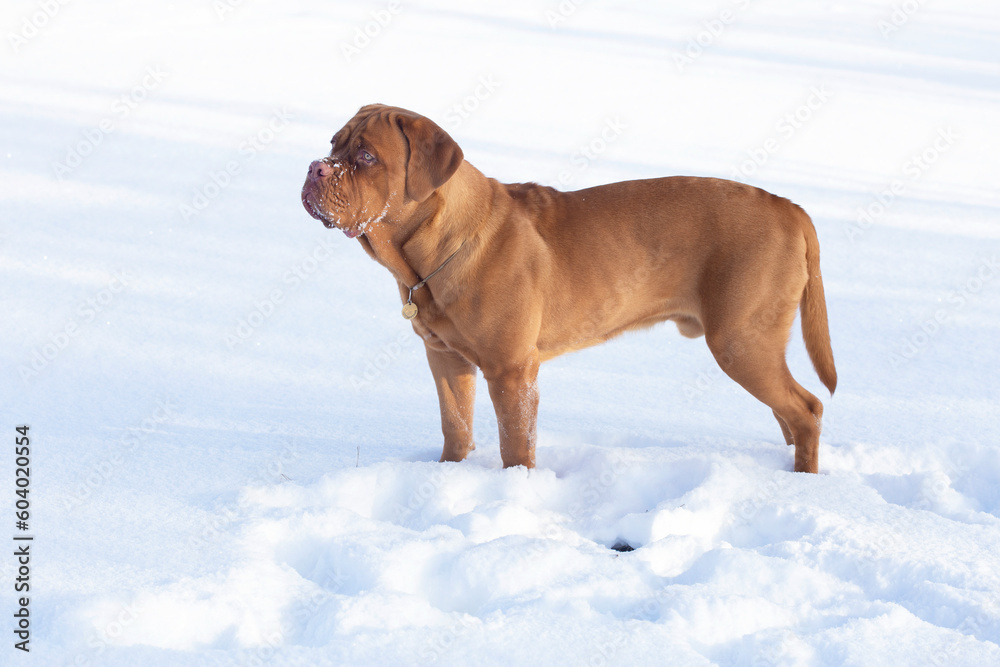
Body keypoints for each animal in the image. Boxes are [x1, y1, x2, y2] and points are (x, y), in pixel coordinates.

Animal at [302, 105, 836, 474]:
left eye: (366, 155)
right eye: (333, 143)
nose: (315, 167)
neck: (434, 246)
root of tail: (789, 206)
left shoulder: (512, 370)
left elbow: (516, 444)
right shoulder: (446, 359)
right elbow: (455, 426)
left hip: (740, 340)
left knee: (806, 408)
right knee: (788, 414)